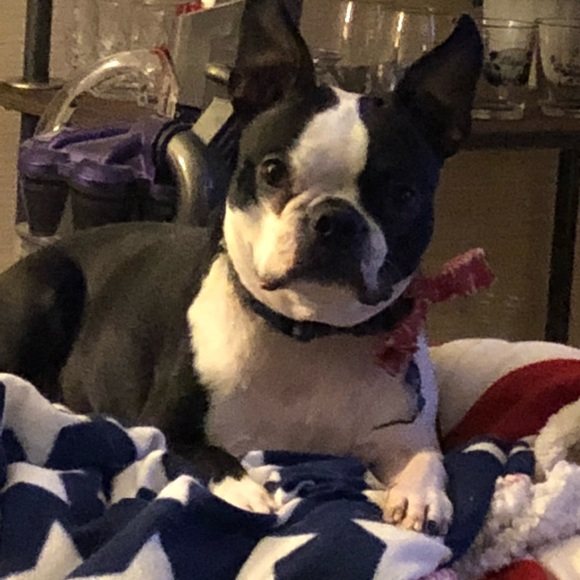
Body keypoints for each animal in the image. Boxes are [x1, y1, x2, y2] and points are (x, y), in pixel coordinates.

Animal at [0, 0, 482, 536]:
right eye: (272, 171)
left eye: (403, 195)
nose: (336, 220)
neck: (311, 336)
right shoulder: (163, 427)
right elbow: (209, 455)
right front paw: (246, 491)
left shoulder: (406, 431)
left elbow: (427, 457)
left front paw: (421, 495)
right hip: (46, 287)